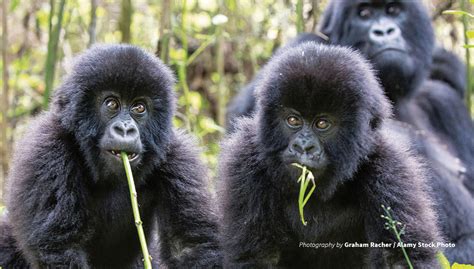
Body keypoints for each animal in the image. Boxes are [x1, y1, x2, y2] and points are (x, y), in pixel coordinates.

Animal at [0, 45, 221, 266]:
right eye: (112, 104)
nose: (125, 129)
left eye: (139, 107)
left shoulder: (177, 156)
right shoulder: (47, 151)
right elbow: (61, 247)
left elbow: (190, 246)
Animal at [218, 43, 440, 266]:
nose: (303, 147)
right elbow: (255, 256)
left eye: (322, 124)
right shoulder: (244, 159)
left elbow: (399, 258)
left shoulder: (390, 169)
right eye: (293, 120)